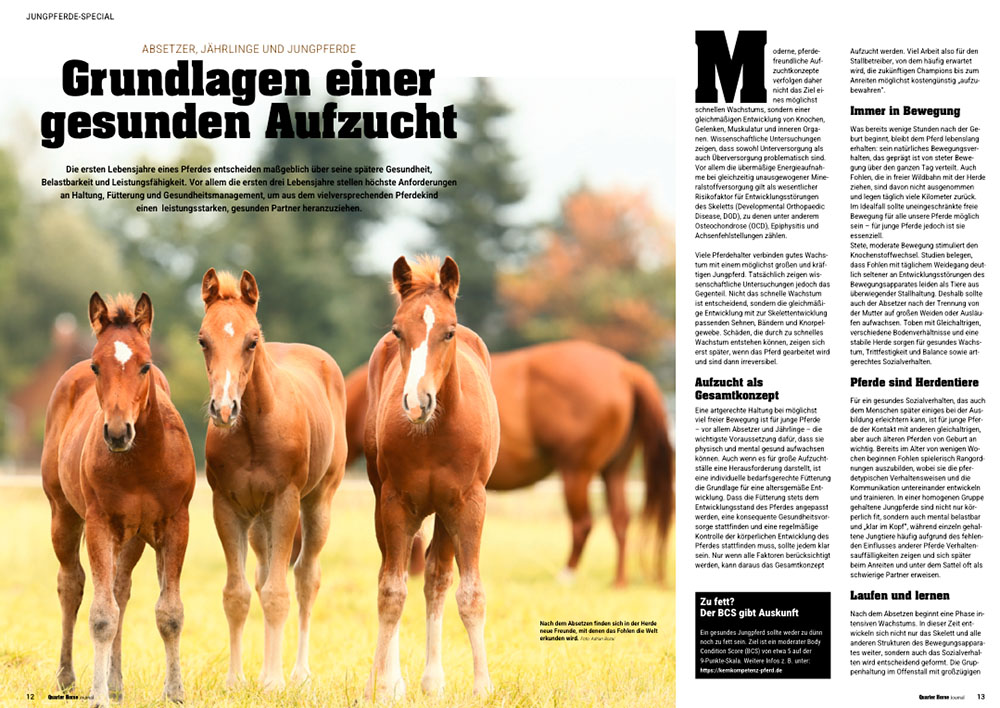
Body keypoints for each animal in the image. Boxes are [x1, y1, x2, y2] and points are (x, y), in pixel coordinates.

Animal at [41, 293, 196, 706]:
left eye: (145, 366)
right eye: (98, 366)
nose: (116, 432)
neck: (141, 463)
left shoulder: (176, 524)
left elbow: (169, 611)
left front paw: (175, 692)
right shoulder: (100, 524)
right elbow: (100, 615)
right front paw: (97, 696)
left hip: (134, 537)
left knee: (121, 590)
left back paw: (115, 681)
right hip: (64, 515)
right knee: (72, 584)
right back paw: (67, 679)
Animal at [198, 268, 347, 691]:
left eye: (251, 341)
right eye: (203, 340)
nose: (224, 409)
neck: (253, 432)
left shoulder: (285, 502)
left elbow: (279, 594)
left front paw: (275, 684)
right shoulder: (227, 506)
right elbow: (238, 594)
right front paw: (236, 680)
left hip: (316, 503)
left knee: (306, 578)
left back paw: (297, 672)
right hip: (258, 520)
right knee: (263, 576)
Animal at [343, 340, 674, 587]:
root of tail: (624, 370)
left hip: (576, 472)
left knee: (583, 524)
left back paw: (566, 575)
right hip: (614, 470)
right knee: (620, 520)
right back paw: (619, 581)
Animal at [364, 256, 499, 700]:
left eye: (448, 331)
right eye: (397, 331)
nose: (416, 402)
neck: (435, 433)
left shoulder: (469, 503)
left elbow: (469, 593)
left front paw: (482, 687)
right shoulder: (395, 502)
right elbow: (391, 590)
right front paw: (385, 686)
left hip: (445, 511)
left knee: (437, 579)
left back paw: (433, 681)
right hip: (384, 502)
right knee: (392, 573)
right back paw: (388, 677)